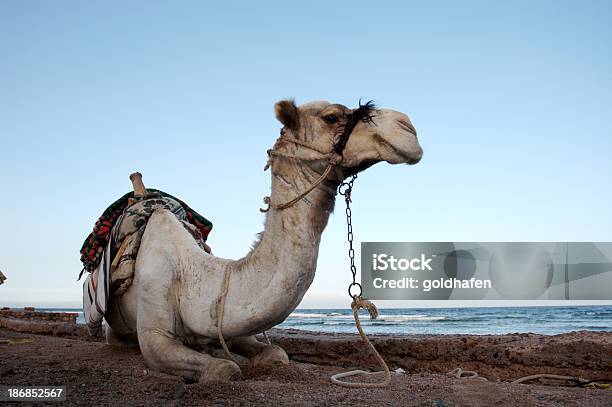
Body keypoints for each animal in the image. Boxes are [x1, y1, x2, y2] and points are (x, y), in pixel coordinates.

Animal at [104, 99, 420, 382]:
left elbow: (276, 354)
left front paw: (233, 353)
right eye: (331, 117)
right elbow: (225, 370)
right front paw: (225, 360)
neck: (195, 275)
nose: (408, 127)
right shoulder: (154, 331)